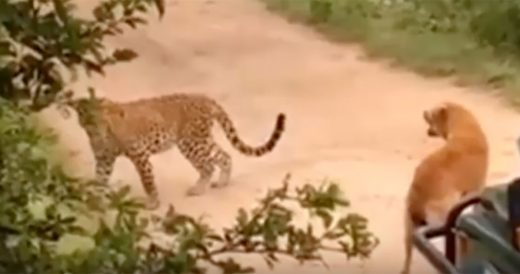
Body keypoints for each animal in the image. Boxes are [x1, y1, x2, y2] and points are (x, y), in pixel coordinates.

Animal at [64, 92, 288, 210]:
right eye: (84, 116)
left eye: (98, 117)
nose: (92, 127)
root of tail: (206, 98)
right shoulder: (104, 159)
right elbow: (99, 179)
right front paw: (93, 202)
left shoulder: (140, 156)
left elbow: (147, 182)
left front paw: (153, 203)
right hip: (198, 141)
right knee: (223, 156)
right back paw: (220, 183)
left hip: (191, 143)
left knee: (209, 164)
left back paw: (199, 189)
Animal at [402, 102, 488, 274]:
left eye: (432, 114)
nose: (423, 112)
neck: (464, 125)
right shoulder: (476, 189)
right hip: (446, 218)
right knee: (459, 242)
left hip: (408, 226)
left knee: (407, 257)